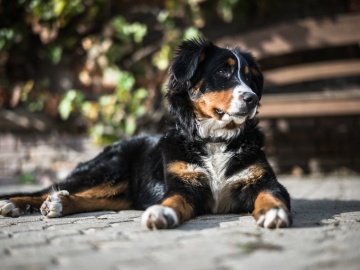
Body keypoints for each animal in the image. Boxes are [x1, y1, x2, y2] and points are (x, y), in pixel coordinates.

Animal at [0, 37, 292, 228]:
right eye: (223, 71)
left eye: (250, 77)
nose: (252, 98)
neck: (216, 140)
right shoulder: (183, 185)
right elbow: (172, 200)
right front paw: (162, 213)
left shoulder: (264, 181)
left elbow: (271, 195)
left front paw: (273, 213)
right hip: (108, 170)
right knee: (53, 188)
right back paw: (14, 203)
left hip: (120, 191)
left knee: (88, 198)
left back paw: (59, 203)